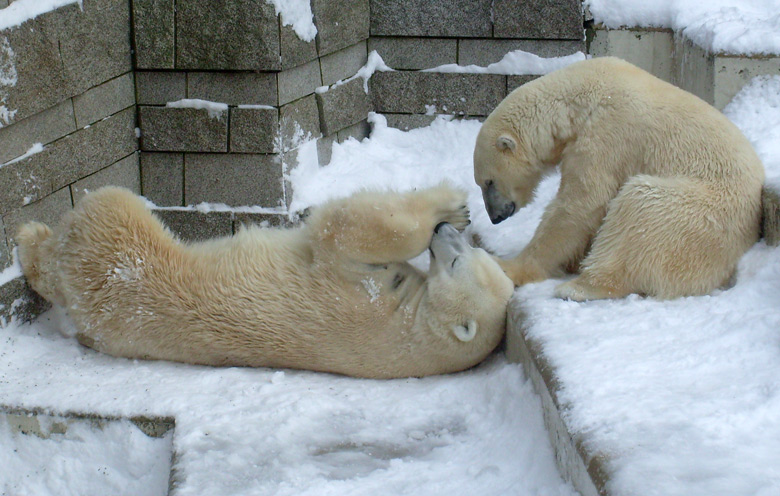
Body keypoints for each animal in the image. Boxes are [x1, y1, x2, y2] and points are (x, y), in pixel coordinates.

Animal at [15, 187, 516, 380]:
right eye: (477, 256)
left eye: (460, 262)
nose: (446, 235)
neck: (415, 331)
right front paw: (454, 210)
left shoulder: (366, 300)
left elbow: (345, 229)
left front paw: (447, 207)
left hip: (119, 254)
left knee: (96, 218)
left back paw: (27, 239)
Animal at [472, 56, 764, 300]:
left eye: (488, 181)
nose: (495, 217)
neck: (577, 101)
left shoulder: (606, 136)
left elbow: (581, 203)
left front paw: (507, 267)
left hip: (702, 215)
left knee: (641, 209)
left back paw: (578, 287)